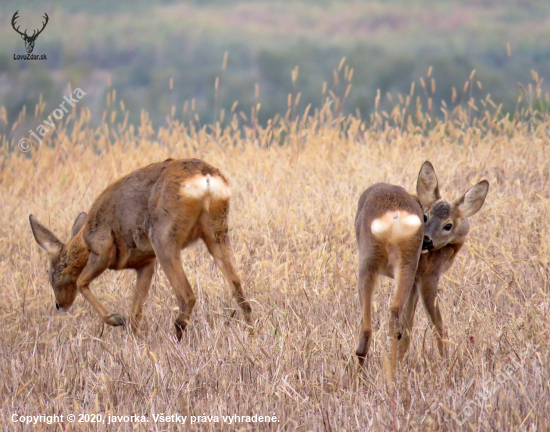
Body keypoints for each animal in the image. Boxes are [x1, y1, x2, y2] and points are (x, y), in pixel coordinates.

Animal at [29, 157, 253, 340]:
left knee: (187, 296)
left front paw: (115, 319)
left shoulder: (103, 250)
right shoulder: (146, 263)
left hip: (164, 236)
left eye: (50, 274)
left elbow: (82, 282)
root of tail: (206, 178)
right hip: (216, 232)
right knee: (239, 290)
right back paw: (251, 332)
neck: (85, 239)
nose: (59, 305)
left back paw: (176, 340)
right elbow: (136, 313)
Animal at [356, 161, 490, 378]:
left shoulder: (415, 283)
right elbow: (437, 324)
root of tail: (394, 216)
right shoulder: (428, 276)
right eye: (425, 216)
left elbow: (408, 329)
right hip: (406, 264)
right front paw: (447, 363)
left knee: (370, 327)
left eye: (448, 225)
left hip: (370, 261)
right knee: (394, 318)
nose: (426, 240)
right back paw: (393, 375)